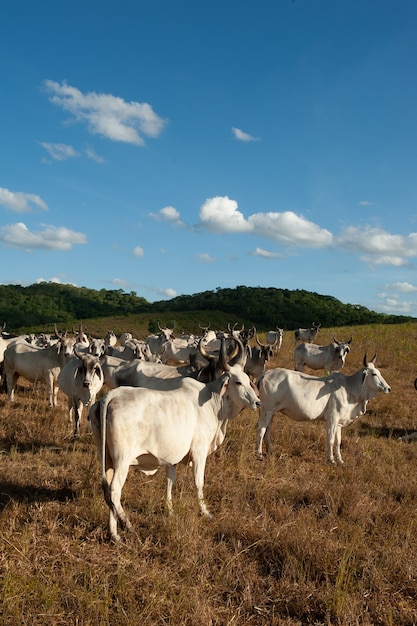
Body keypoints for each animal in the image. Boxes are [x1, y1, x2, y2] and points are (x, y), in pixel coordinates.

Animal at [90, 338, 260, 540]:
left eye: (248, 380)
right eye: (238, 382)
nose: (257, 402)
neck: (213, 402)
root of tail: (110, 396)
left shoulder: (172, 458)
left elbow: (170, 481)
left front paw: (170, 511)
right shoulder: (199, 452)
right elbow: (199, 482)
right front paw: (205, 512)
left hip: (106, 458)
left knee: (107, 490)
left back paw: (114, 533)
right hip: (121, 460)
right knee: (114, 491)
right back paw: (127, 524)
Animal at [256, 356, 390, 464]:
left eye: (379, 372)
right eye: (374, 374)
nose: (388, 388)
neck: (349, 388)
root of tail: (265, 374)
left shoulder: (339, 423)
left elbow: (338, 442)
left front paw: (340, 460)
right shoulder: (332, 418)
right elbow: (330, 440)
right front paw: (331, 460)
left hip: (270, 411)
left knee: (267, 429)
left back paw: (270, 451)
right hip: (267, 409)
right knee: (261, 429)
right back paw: (259, 454)